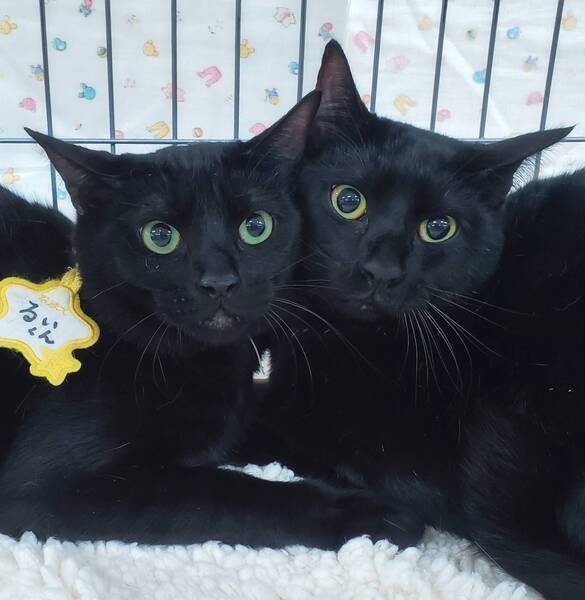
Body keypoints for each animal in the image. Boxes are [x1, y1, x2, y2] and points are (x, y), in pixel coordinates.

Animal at [0, 91, 421, 550]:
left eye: (256, 226)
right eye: (159, 236)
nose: (219, 282)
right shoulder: (49, 488)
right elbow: (222, 492)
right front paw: (369, 512)